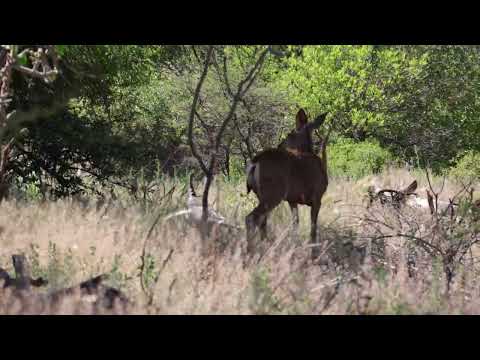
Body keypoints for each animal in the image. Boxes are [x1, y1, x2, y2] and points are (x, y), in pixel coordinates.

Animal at [246, 108, 328, 260]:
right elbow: (313, 227)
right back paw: (251, 253)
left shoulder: (292, 200)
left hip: (263, 196)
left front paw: (295, 248)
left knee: (262, 222)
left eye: (289, 134)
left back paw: (264, 249)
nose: (281, 145)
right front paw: (314, 254)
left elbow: (295, 224)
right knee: (251, 218)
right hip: (273, 194)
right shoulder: (317, 197)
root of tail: (255, 163)